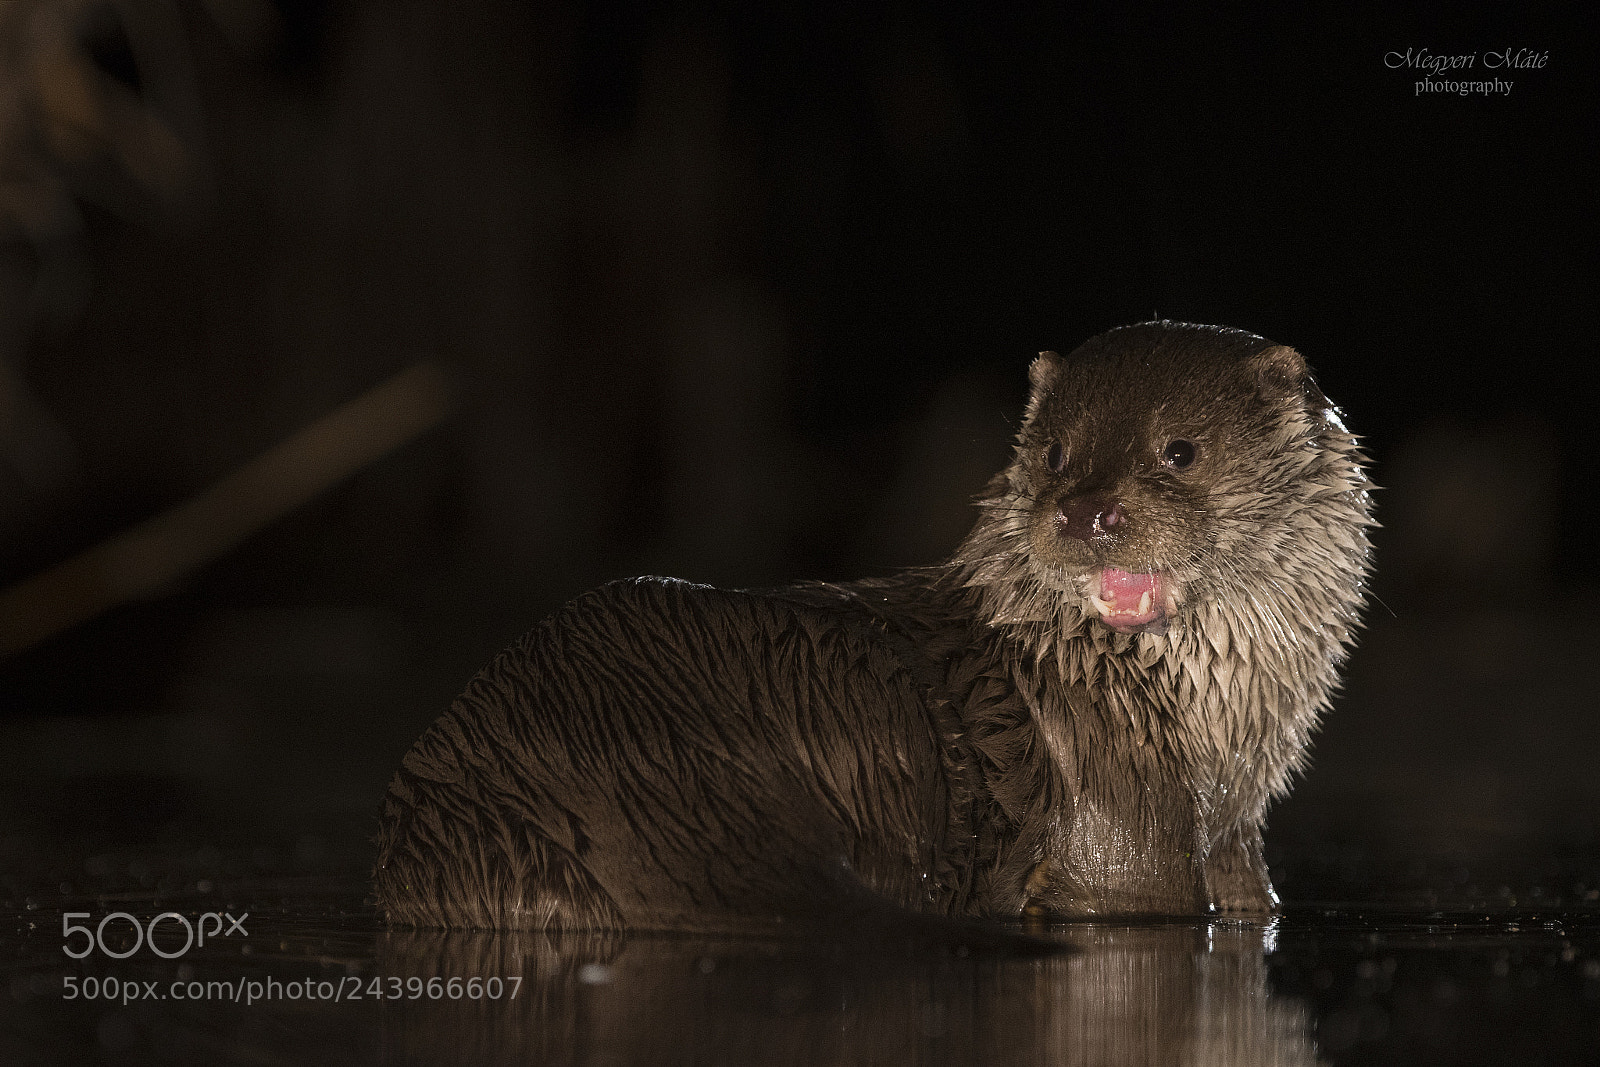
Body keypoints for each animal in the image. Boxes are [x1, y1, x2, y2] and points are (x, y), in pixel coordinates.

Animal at [374, 321, 1373, 931]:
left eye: (1180, 450)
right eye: (1055, 452)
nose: (1087, 509)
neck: (1203, 742)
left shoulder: (1239, 845)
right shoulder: (1116, 814)